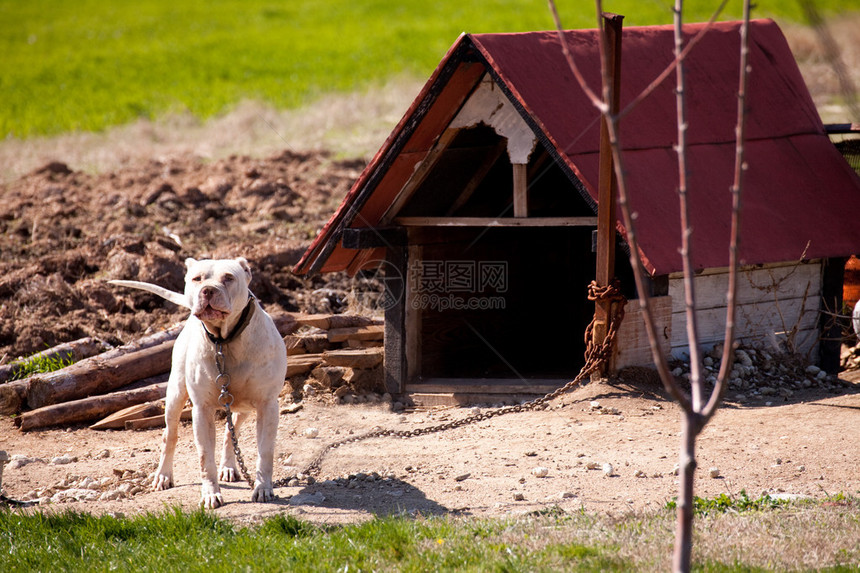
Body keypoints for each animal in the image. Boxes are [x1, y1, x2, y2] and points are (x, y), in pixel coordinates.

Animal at [109, 256, 286, 508]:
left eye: (228, 277)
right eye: (197, 278)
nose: (208, 290)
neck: (225, 341)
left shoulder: (267, 406)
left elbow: (265, 453)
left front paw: (263, 488)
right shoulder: (202, 410)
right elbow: (205, 458)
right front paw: (210, 494)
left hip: (244, 408)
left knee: (231, 432)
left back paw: (229, 466)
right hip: (175, 396)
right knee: (170, 435)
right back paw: (163, 475)